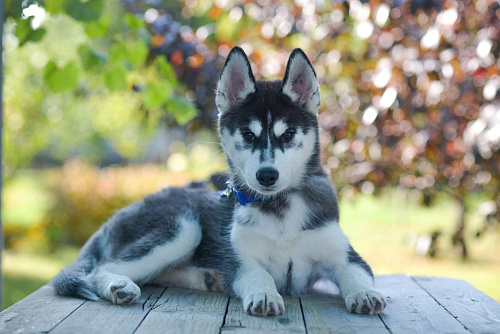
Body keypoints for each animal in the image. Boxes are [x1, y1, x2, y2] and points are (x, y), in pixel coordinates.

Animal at [51, 46, 386, 316]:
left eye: (288, 134)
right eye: (248, 135)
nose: (267, 175)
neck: (279, 210)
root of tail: (113, 218)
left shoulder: (346, 256)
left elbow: (355, 273)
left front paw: (365, 293)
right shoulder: (240, 260)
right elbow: (258, 275)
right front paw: (265, 294)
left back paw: (205, 278)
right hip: (183, 228)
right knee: (102, 268)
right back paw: (119, 286)